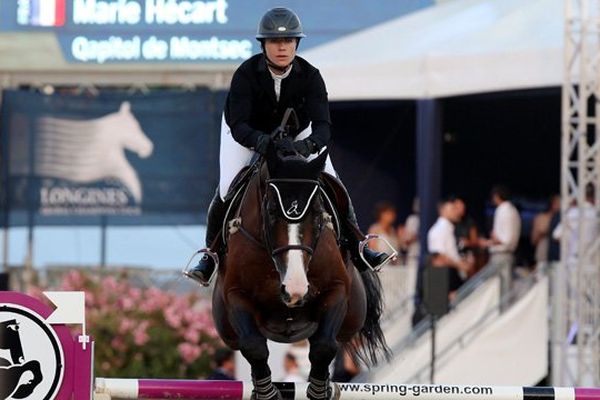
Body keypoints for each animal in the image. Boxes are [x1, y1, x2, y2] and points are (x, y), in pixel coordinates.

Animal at [210, 142, 390, 398]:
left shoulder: (336, 290)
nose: (295, 288)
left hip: (352, 317)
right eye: (271, 210)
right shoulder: (236, 295)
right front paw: (267, 393)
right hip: (227, 328)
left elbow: (324, 346)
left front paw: (318, 391)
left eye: (316, 210)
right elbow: (254, 347)